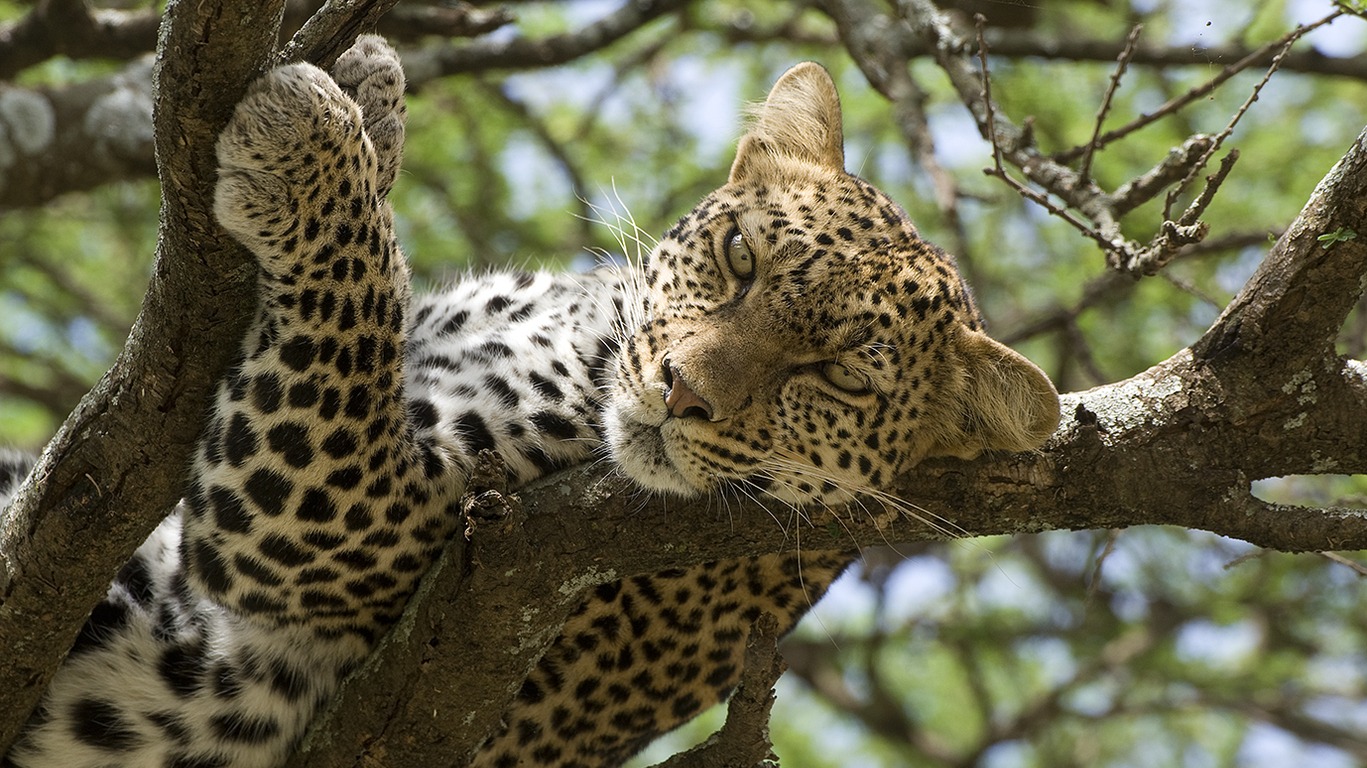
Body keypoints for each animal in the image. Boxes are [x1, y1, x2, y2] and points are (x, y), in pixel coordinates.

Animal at [0, 34, 1055, 765]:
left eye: (838, 376)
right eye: (739, 258)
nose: (681, 392)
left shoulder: (370, 519)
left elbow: (356, 300)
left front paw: (309, 144)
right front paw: (371, 90)